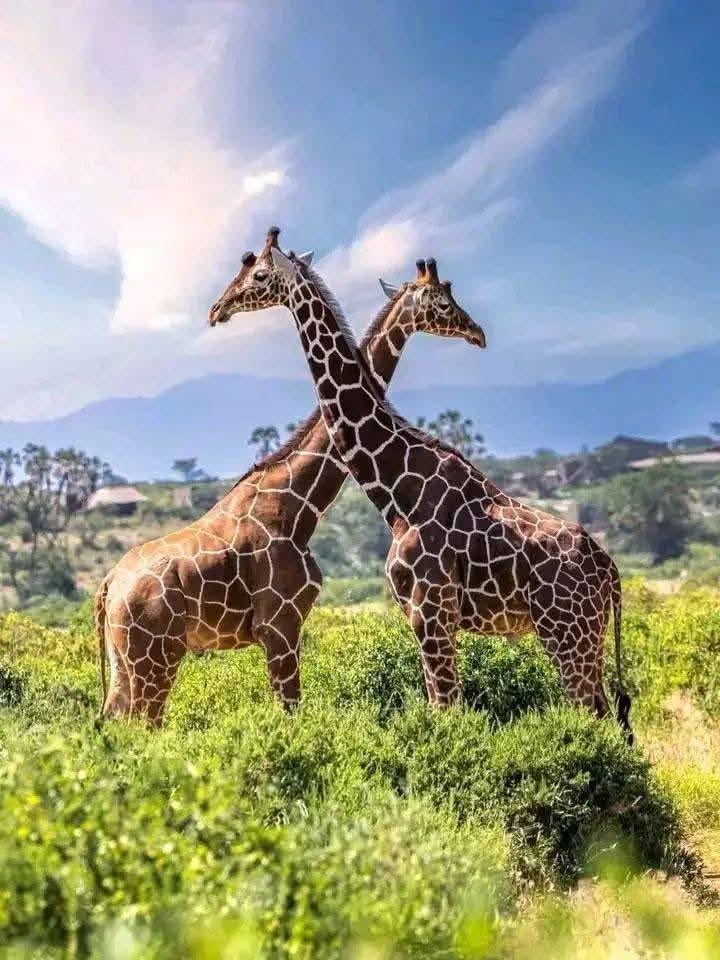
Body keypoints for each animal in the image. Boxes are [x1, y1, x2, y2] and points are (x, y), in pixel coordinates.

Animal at [95, 245, 486, 724]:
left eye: (255, 275)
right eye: (444, 303)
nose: (477, 333)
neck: (297, 503)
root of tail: (109, 585)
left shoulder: (287, 627)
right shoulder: (279, 624)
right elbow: (290, 712)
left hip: (124, 661)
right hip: (156, 656)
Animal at [209, 228, 633, 744]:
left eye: (258, 275)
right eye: (443, 300)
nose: (217, 308)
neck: (396, 492)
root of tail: (610, 572)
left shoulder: (430, 612)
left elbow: (446, 710)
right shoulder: (426, 617)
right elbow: (442, 706)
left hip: (568, 633)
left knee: (600, 715)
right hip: (582, 636)